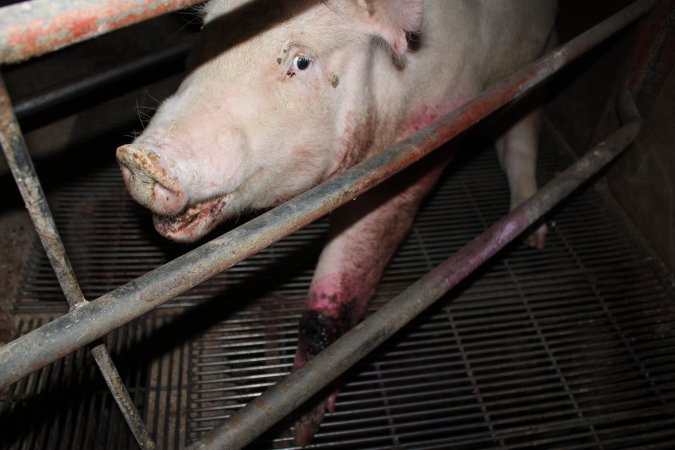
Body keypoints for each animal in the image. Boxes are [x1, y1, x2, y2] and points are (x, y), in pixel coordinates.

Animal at [117, 0, 560, 442]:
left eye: (301, 61)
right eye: (208, 35)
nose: (138, 157)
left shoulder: (422, 142)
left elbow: (347, 274)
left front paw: (304, 426)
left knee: (522, 136)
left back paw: (533, 237)